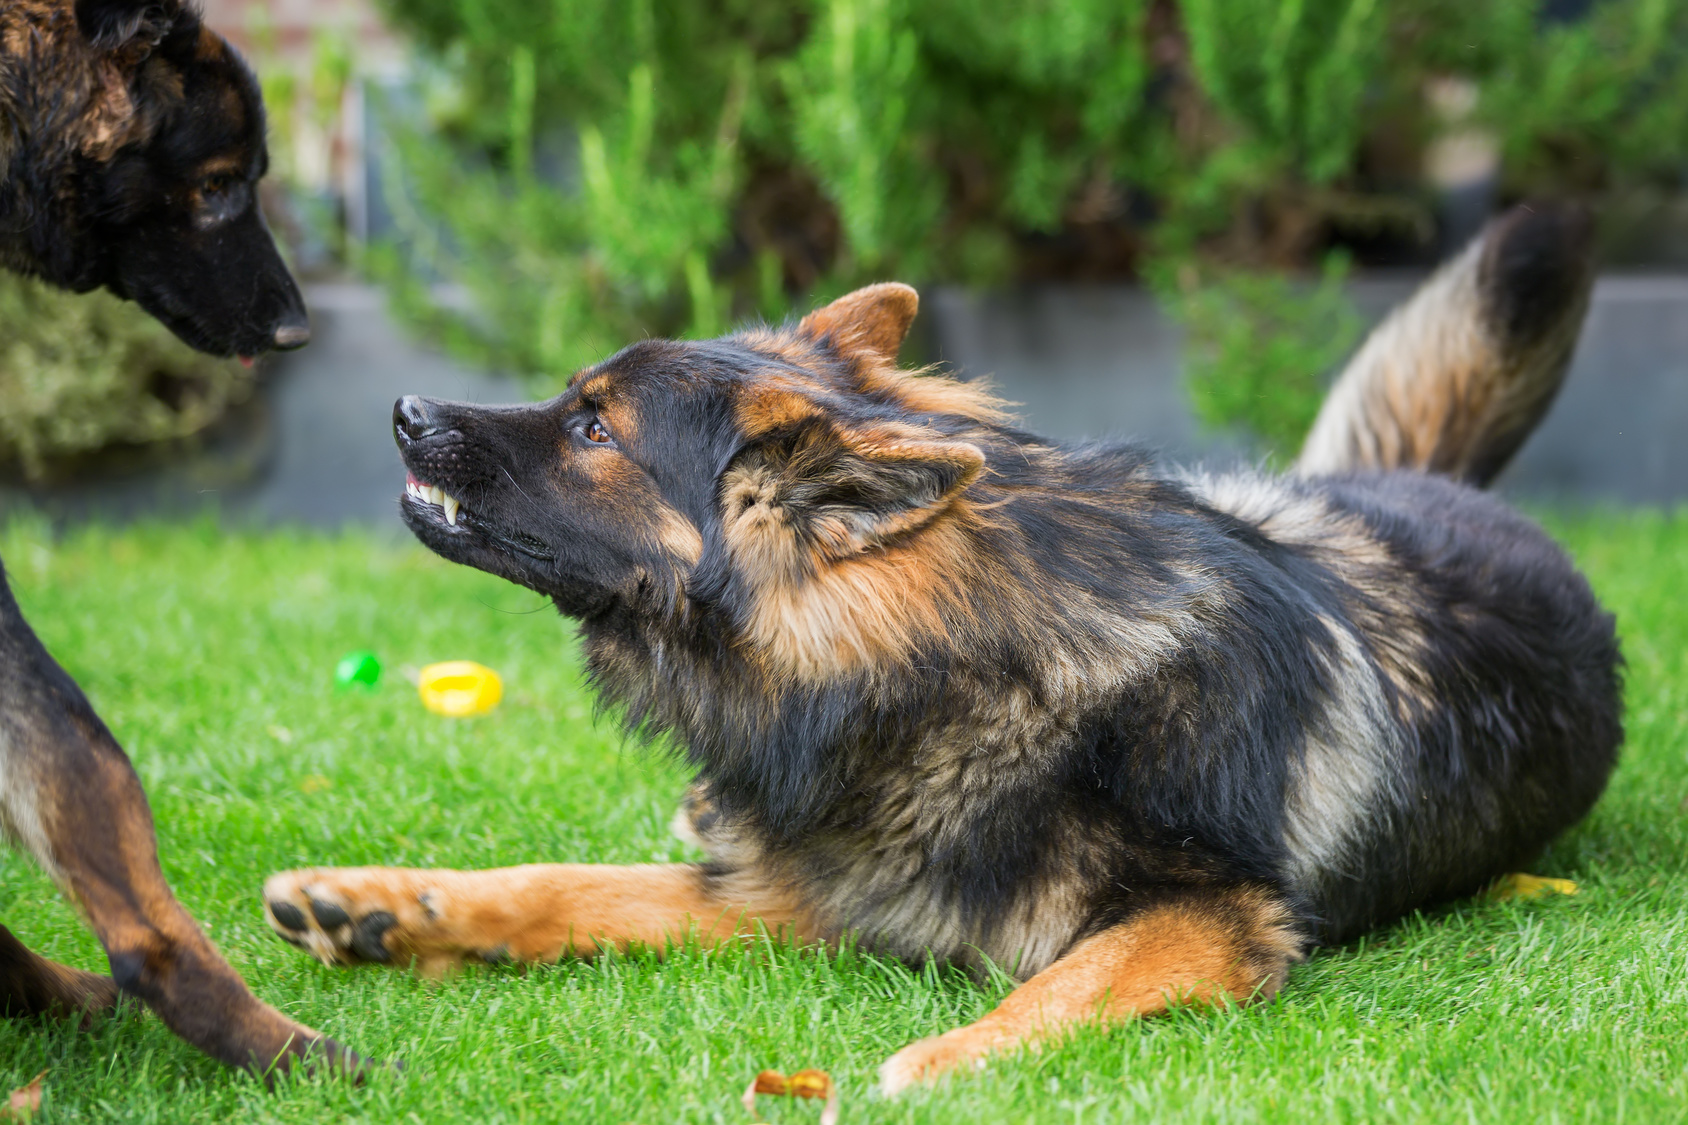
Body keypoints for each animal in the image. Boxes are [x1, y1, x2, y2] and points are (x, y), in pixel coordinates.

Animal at [256, 203, 1613, 1087]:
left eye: (594, 426)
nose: (404, 412)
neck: (947, 682)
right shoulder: (810, 882)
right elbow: (568, 884)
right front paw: (389, 904)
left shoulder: (1213, 917)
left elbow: (1059, 984)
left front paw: (927, 1070)